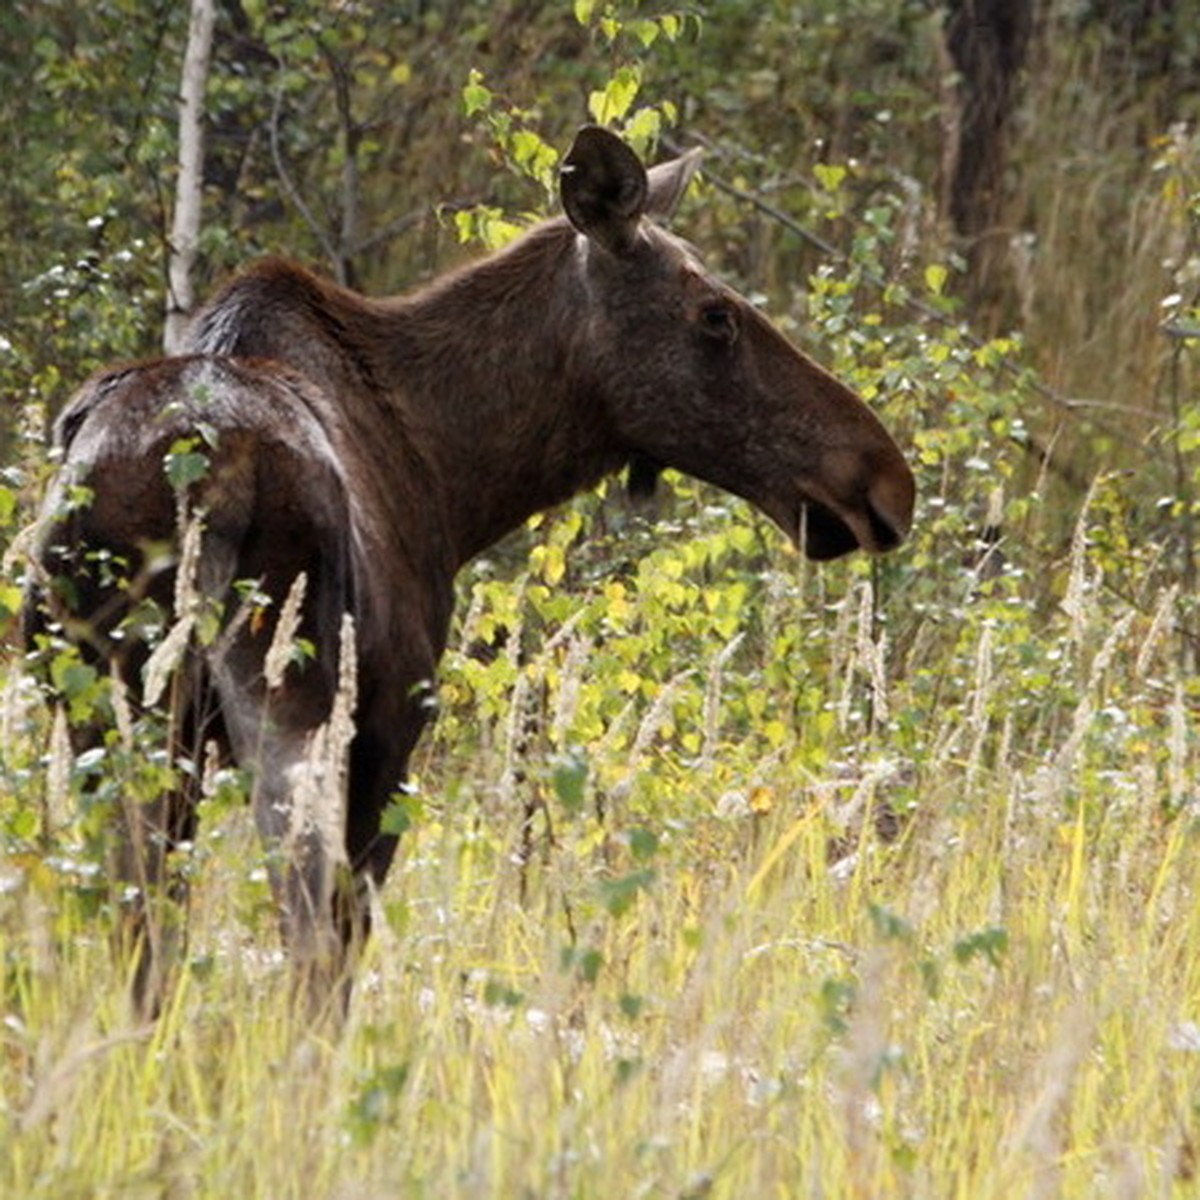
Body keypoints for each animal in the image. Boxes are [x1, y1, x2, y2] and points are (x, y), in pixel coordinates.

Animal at [25, 129, 907, 1012]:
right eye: (716, 315)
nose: (883, 474)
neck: (457, 479)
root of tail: (199, 466)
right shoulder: (390, 736)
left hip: (114, 715)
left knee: (141, 923)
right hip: (293, 698)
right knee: (302, 925)